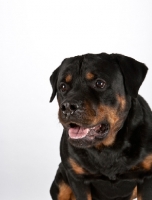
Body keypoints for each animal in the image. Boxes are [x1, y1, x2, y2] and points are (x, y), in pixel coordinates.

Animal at [49, 52, 152, 199]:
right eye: (63, 86)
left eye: (99, 83)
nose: (67, 106)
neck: (107, 148)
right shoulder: (77, 179)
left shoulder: (147, 177)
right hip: (60, 182)